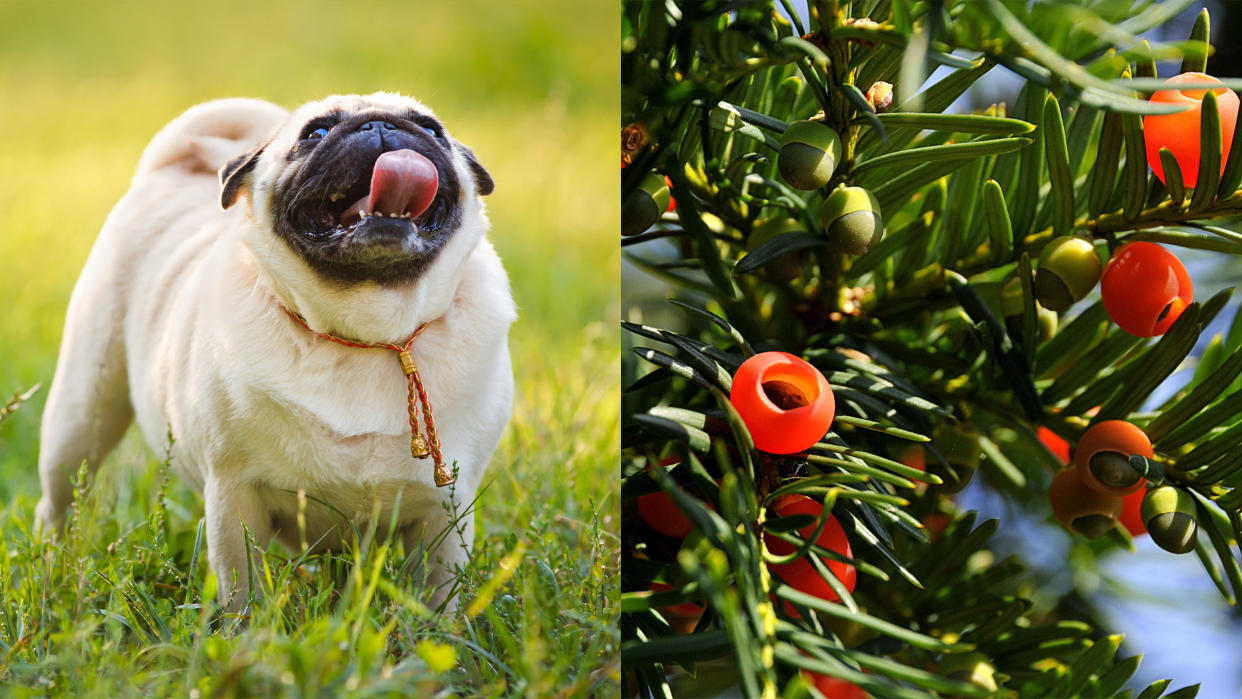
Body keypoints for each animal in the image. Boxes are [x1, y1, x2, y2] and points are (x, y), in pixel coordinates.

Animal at [37, 94, 514, 613]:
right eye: (315, 133)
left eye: (431, 130)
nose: (381, 125)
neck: (365, 333)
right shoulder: (235, 498)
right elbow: (243, 590)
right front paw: (247, 632)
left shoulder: (444, 513)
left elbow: (438, 598)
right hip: (81, 415)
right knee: (60, 499)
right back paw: (54, 568)